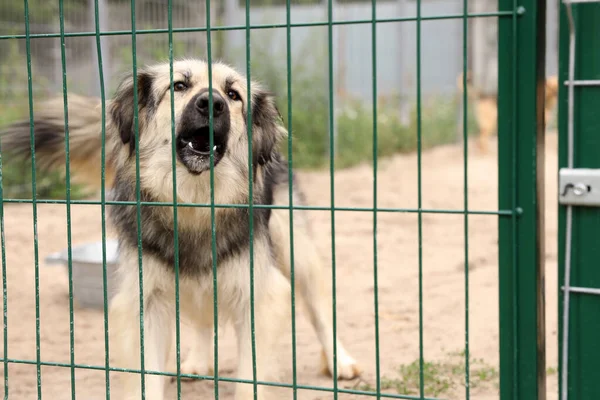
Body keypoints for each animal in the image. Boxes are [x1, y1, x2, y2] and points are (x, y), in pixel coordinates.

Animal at [1, 59, 360, 400]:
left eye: (233, 95)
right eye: (179, 86)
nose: (212, 103)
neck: (194, 203)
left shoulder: (260, 296)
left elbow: (251, 380)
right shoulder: (145, 302)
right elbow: (146, 379)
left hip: (295, 250)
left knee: (320, 311)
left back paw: (341, 363)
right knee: (203, 317)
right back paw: (197, 362)